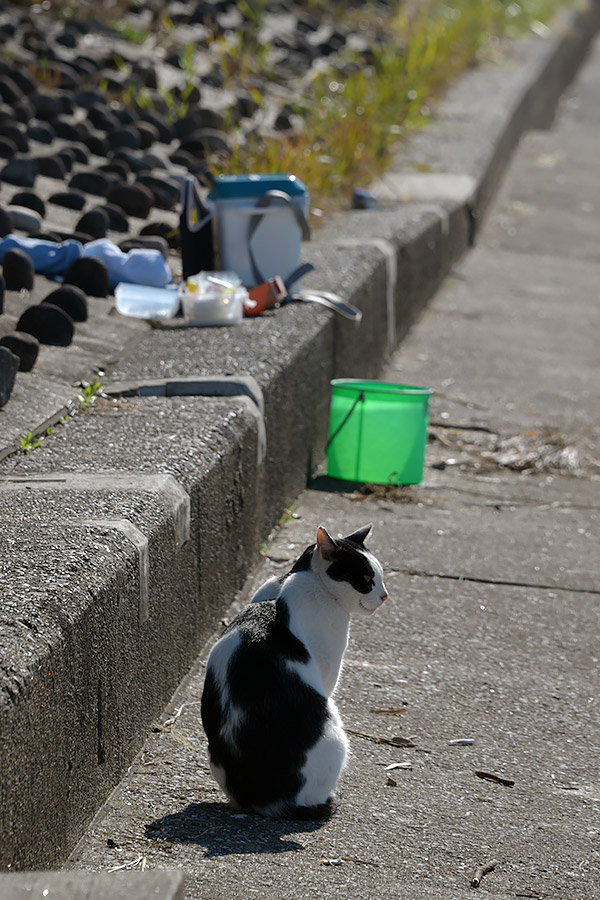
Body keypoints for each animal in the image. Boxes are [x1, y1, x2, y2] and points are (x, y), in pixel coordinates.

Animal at [200, 524, 390, 820]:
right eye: (366, 578)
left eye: (378, 576)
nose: (384, 595)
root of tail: (266, 801)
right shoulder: (327, 671)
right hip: (335, 736)